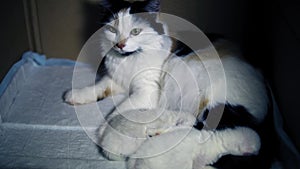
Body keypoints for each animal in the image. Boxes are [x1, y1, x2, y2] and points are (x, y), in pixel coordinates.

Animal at [63, 0, 276, 168]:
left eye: (135, 31)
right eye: (112, 30)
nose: (120, 45)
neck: (128, 60)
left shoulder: (147, 91)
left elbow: (119, 109)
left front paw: (104, 131)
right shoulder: (116, 79)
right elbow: (98, 87)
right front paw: (75, 95)